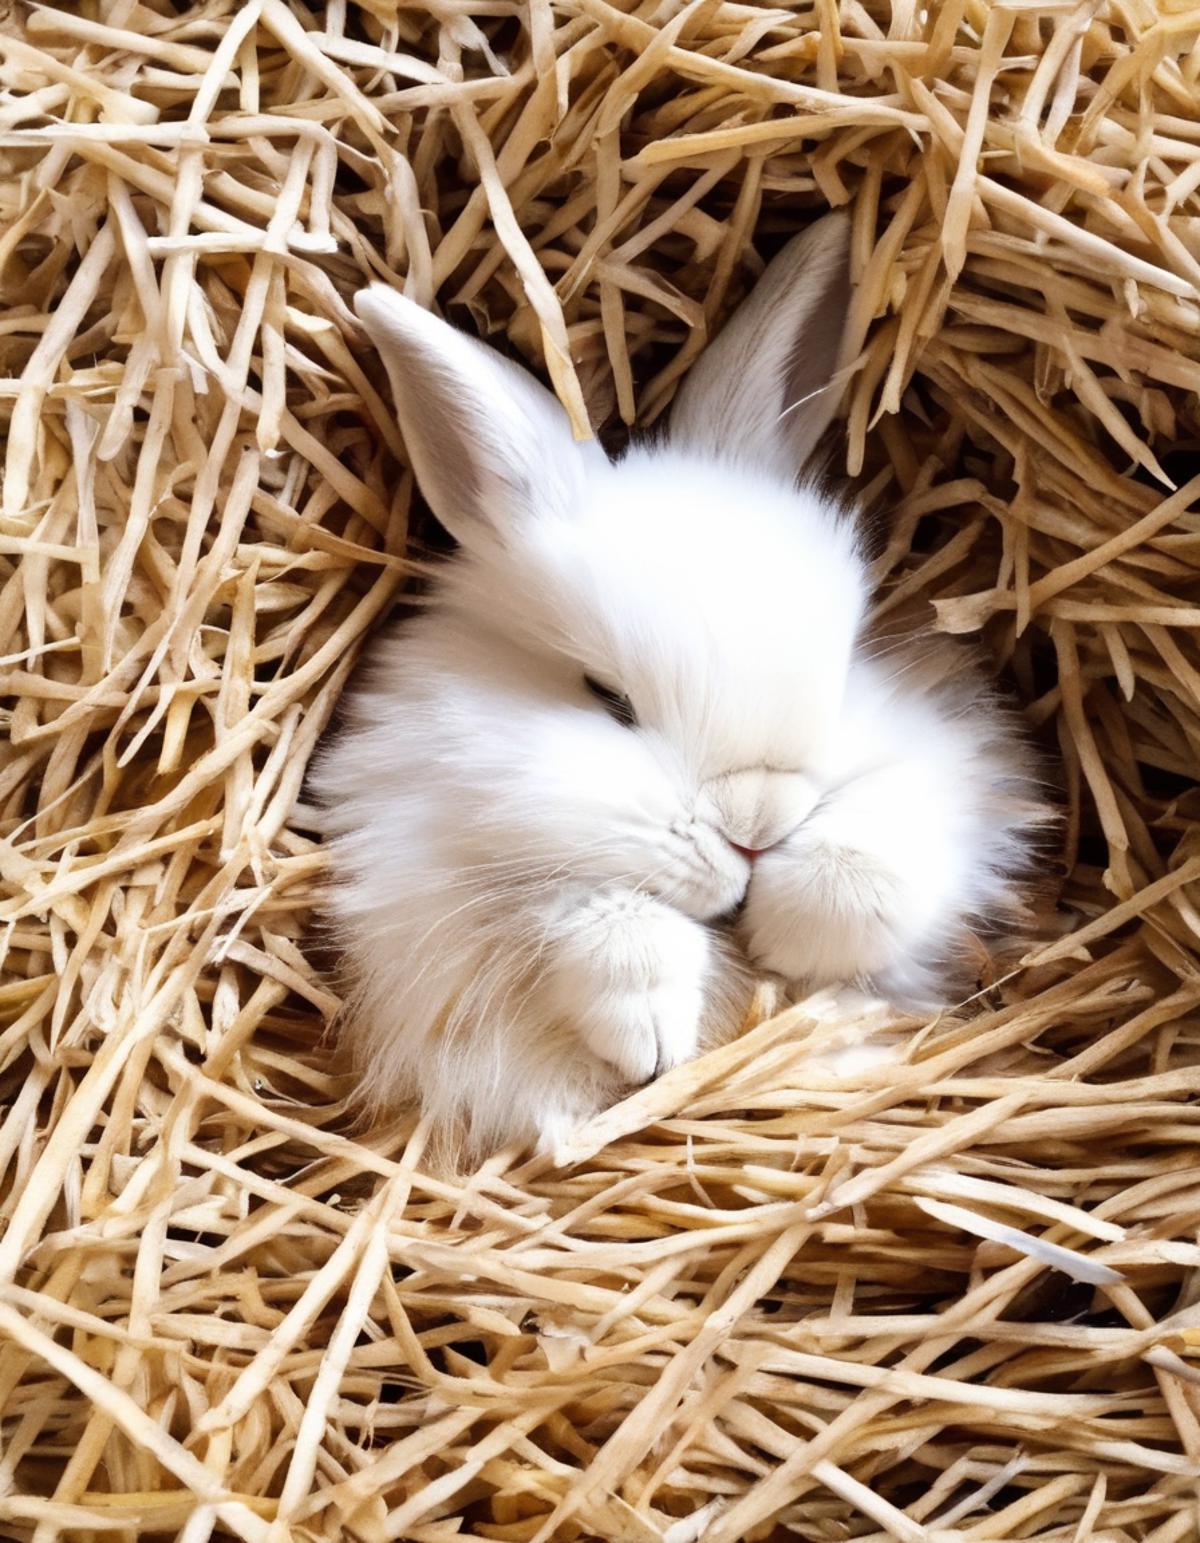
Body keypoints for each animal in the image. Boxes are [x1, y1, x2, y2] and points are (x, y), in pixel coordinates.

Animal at [311, 217, 1036, 1160]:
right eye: (607, 697)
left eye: (845, 669)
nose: (756, 830)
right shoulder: (428, 869)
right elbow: (591, 917)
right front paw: (651, 1038)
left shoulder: (950, 775)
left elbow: (868, 864)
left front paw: (795, 942)